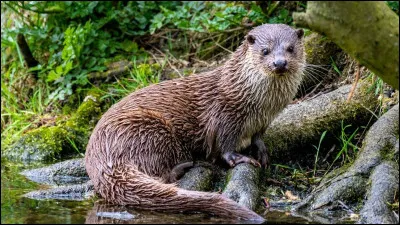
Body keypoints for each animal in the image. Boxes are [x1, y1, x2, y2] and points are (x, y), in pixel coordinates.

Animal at [83, 23, 304, 221]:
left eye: (290, 48)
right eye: (265, 51)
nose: (280, 63)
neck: (257, 105)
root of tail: (101, 157)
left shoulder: (263, 121)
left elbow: (258, 137)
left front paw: (262, 151)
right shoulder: (225, 115)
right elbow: (224, 146)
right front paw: (240, 158)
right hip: (148, 129)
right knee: (160, 174)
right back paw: (185, 165)